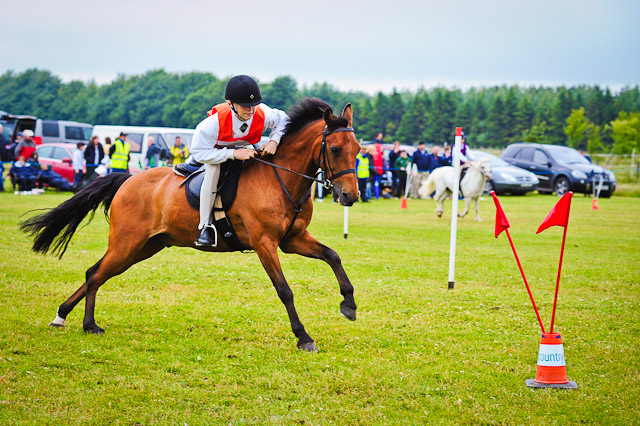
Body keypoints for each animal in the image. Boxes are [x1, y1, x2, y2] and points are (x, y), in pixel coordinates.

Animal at [22, 98, 362, 352]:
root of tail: (128, 179)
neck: (282, 179)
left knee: (97, 272)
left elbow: (333, 256)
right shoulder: (264, 243)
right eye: (334, 149)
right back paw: (88, 324)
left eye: (358, 150)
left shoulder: (293, 239)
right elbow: (284, 290)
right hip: (127, 243)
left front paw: (348, 304)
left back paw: (62, 316)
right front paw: (303, 337)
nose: (350, 196)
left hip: (144, 247)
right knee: (96, 275)